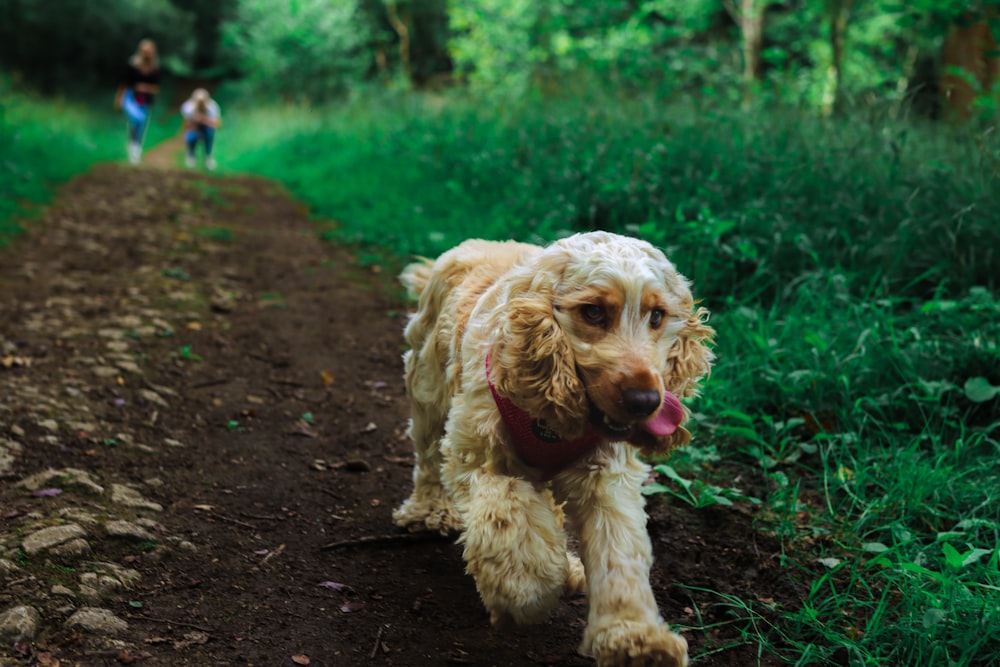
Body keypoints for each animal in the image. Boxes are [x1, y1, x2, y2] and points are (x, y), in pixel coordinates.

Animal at [390, 232, 712, 664]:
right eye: (593, 312)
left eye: (657, 316)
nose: (645, 401)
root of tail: (479, 242)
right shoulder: (478, 455)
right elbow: (507, 515)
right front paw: (528, 590)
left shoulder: (605, 474)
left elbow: (619, 549)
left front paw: (634, 638)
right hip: (427, 385)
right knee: (426, 457)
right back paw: (428, 511)